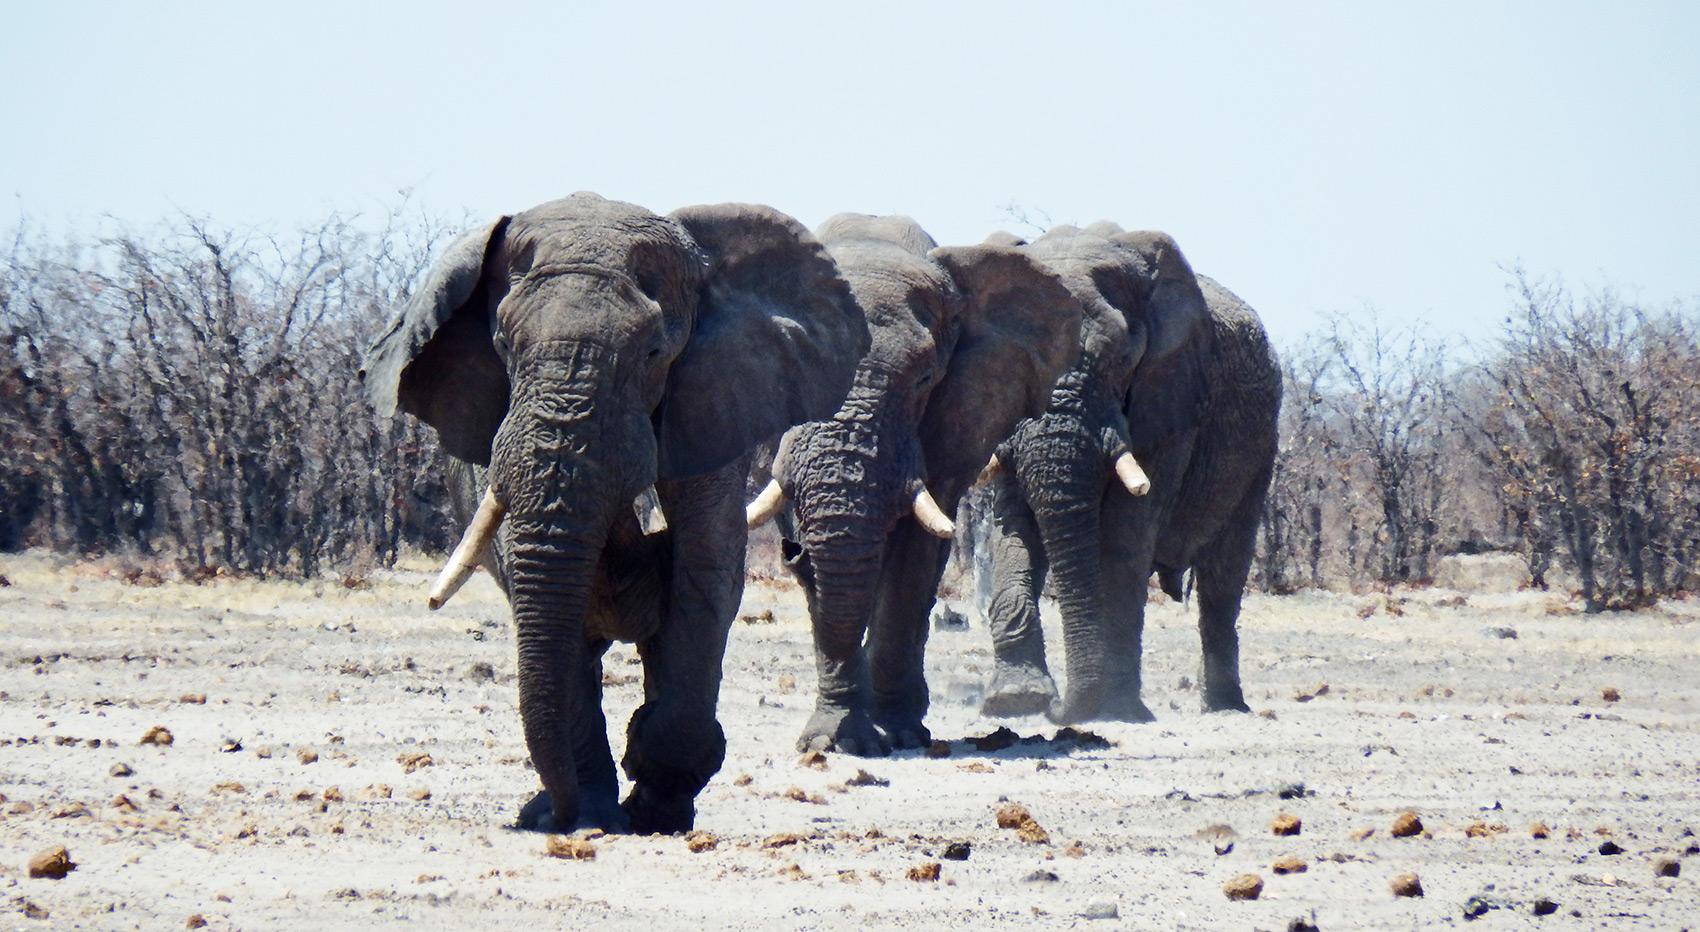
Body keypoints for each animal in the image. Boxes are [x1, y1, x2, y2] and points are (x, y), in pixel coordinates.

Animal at [360, 193, 869, 832]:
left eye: (653, 353)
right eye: (504, 346)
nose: (549, 818)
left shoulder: (709, 410)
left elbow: (704, 574)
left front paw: (655, 800)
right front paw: (592, 810)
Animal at [744, 213, 1082, 755]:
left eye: (925, 379)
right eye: (805, 365)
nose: (790, 554)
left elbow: (913, 560)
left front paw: (893, 732)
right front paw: (833, 739)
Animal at [975, 223, 1281, 725]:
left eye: (1120, 360)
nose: (1057, 708)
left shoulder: (1170, 397)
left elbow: (1124, 535)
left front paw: (1115, 710)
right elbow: (1012, 530)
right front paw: (1014, 700)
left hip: (1261, 445)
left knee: (1223, 576)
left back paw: (1225, 707)